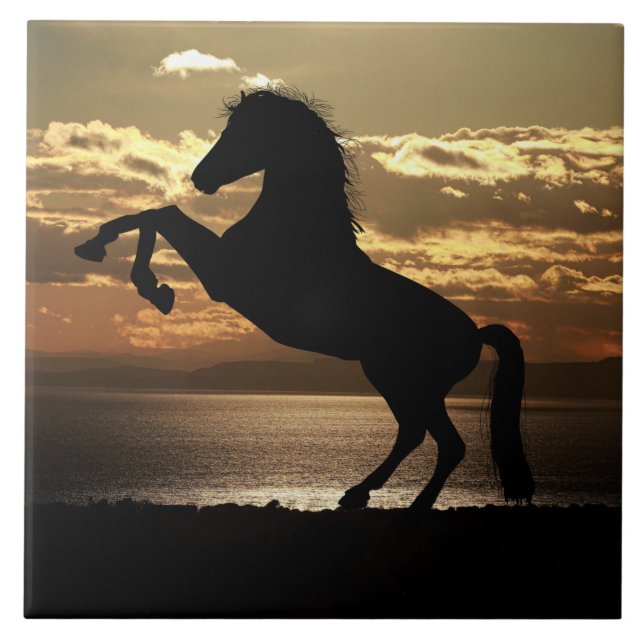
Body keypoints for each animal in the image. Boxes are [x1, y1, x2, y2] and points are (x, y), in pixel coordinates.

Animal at [74, 86, 534, 510]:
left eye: (244, 130)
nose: (200, 178)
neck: (295, 228)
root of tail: (475, 333)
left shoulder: (223, 276)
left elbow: (162, 215)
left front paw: (149, 284)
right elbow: (153, 215)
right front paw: (101, 251)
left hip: (406, 381)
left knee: (441, 441)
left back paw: (408, 503)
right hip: (397, 380)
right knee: (415, 433)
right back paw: (358, 493)